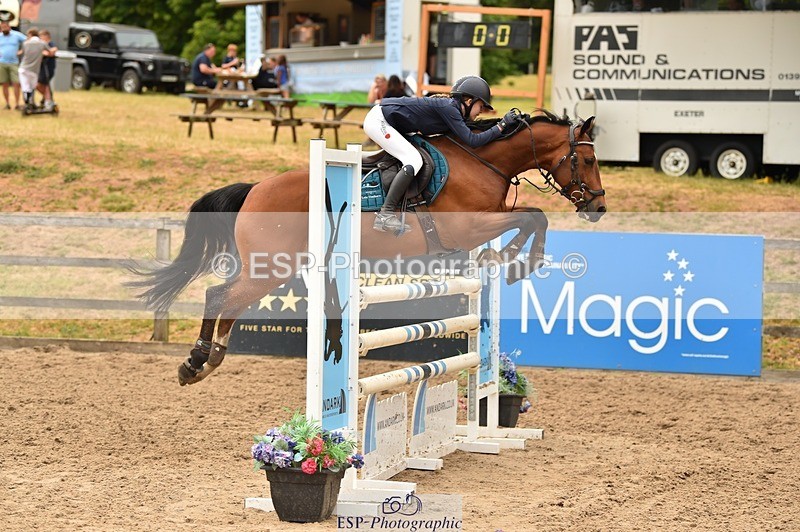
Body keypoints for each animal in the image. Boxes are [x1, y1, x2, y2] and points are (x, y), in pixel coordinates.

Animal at [129, 111, 607, 386]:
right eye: (586, 160)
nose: (599, 206)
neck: (484, 160)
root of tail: (256, 189)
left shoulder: (487, 219)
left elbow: (532, 215)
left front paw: (508, 260)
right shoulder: (466, 228)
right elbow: (533, 216)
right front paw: (514, 262)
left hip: (270, 267)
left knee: (226, 298)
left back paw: (206, 362)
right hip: (272, 268)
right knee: (219, 295)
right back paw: (196, 361)